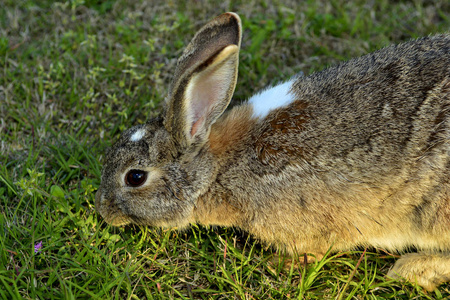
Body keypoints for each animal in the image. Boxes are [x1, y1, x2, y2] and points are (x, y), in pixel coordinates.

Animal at [96, 12, 450, 292]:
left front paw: (282, 265)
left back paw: (411, 269)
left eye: (135, 177)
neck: (219, 169)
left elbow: (319, 249)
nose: (102, 210)